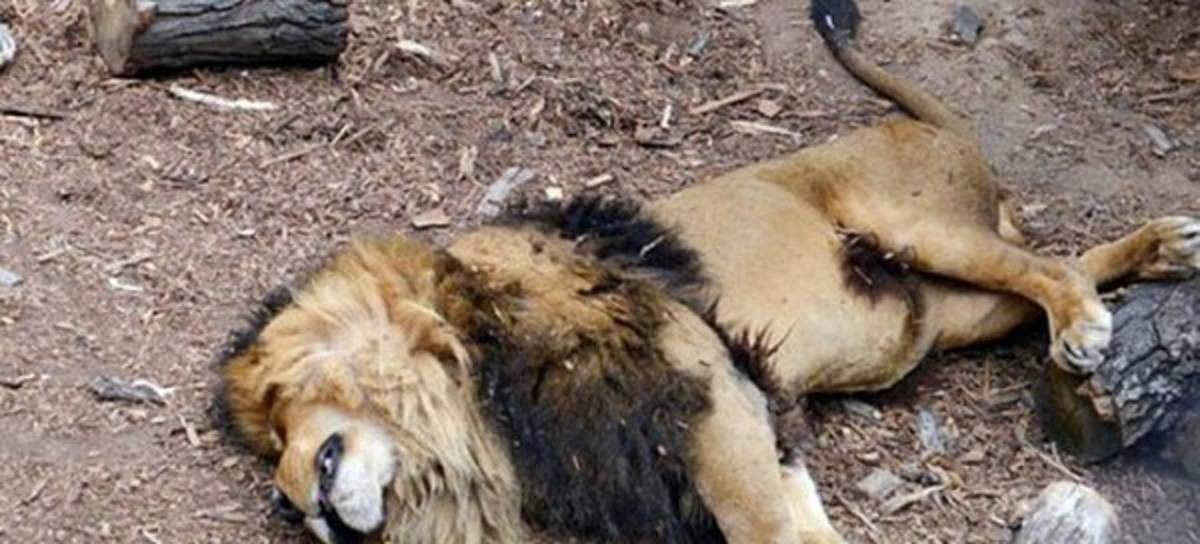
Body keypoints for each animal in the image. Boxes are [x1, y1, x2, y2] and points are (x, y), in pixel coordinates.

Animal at [215, 0, 1200, 543]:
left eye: (293, 433)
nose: (292, 503)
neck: (465, 418)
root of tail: (933, 128)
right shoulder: (733, 404)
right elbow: (795, 508)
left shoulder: (695, 381)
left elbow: (764, 524)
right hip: (954, 311)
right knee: (1052, 266)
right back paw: (1164, 249)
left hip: (920, 226)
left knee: (1046, 266)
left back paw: (1094, 320)